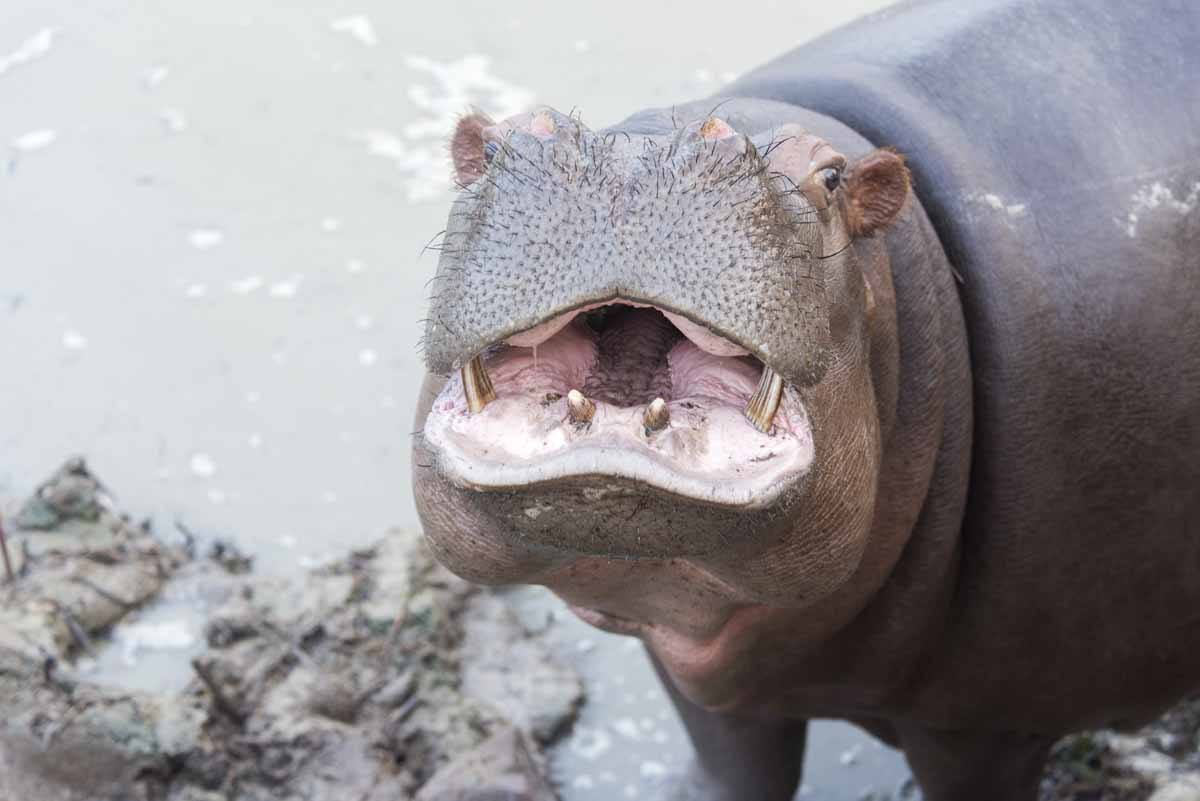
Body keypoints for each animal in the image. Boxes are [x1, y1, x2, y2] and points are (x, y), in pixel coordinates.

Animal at [408, 1, 1195, 796]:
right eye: (488, 148)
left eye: (831, 175)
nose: (628, 158)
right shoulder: (699, 675)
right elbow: (733, 768)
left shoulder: (984, 725)